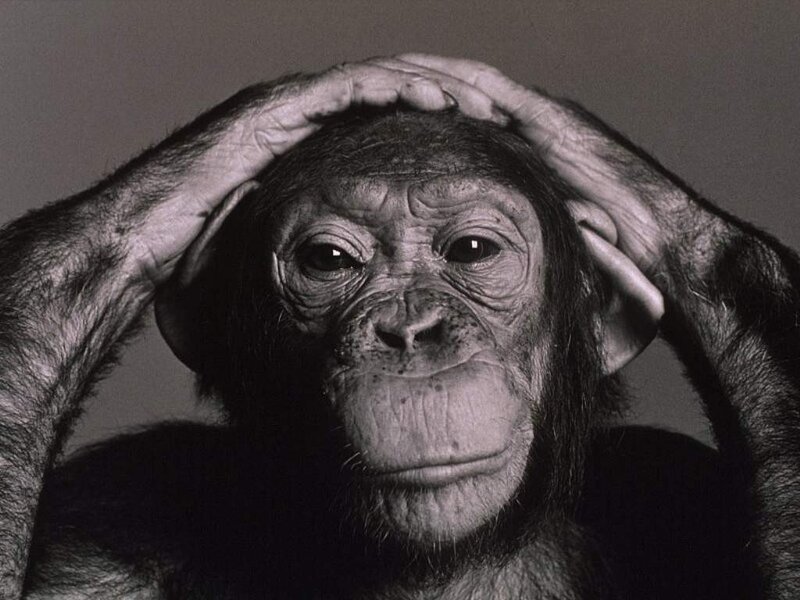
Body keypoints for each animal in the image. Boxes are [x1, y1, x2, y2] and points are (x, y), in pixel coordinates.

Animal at [0, 55, 798, 599]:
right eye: (328, 260)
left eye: (471, 251)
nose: (411, 331)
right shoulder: (102, 527)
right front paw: (261, 120)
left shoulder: (672, 483)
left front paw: (587, 152)